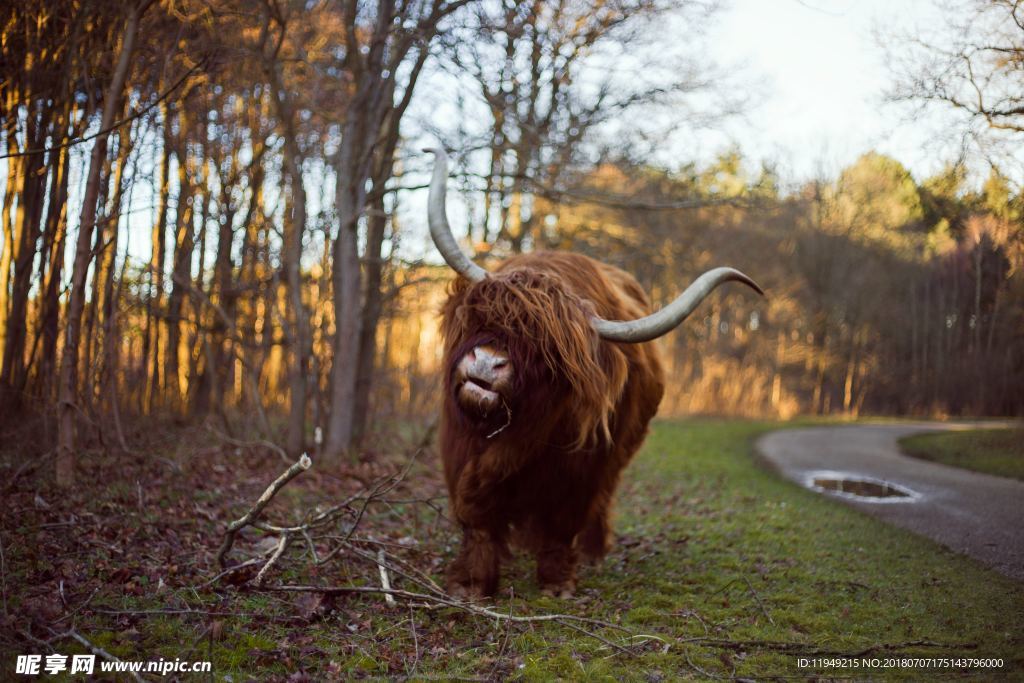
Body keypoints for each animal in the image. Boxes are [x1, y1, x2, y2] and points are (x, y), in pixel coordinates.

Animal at [423, 149, 761, 598]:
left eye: (546, 350)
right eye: (482, 317)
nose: (486, 362)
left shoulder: (581, 472)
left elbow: (563, 523)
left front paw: (556, 584)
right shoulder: (458, 451)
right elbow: (476, 516)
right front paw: (471, 583)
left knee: (602, 503)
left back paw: (593, 552)